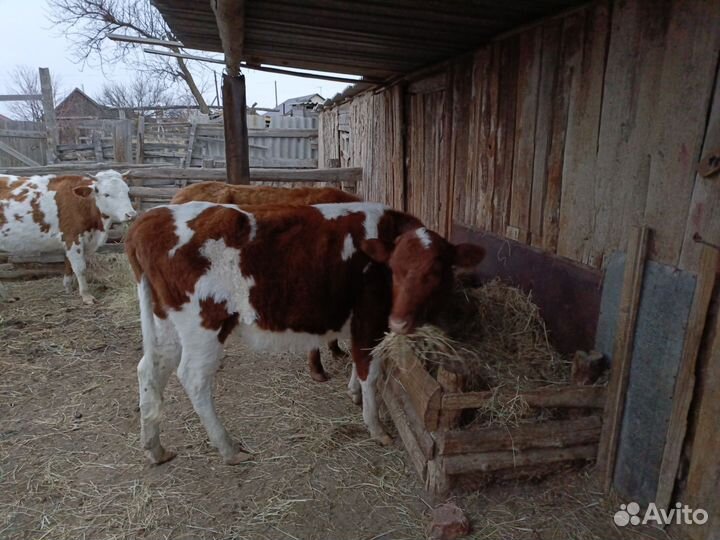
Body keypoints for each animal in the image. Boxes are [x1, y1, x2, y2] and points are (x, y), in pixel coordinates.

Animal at [0, 170, 136, 304]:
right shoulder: (72, 236)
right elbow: (80, 268)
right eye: (106, 194)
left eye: (127, 191)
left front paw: (68, 287)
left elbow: (69, 264)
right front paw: (86, 295)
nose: (131, 214)